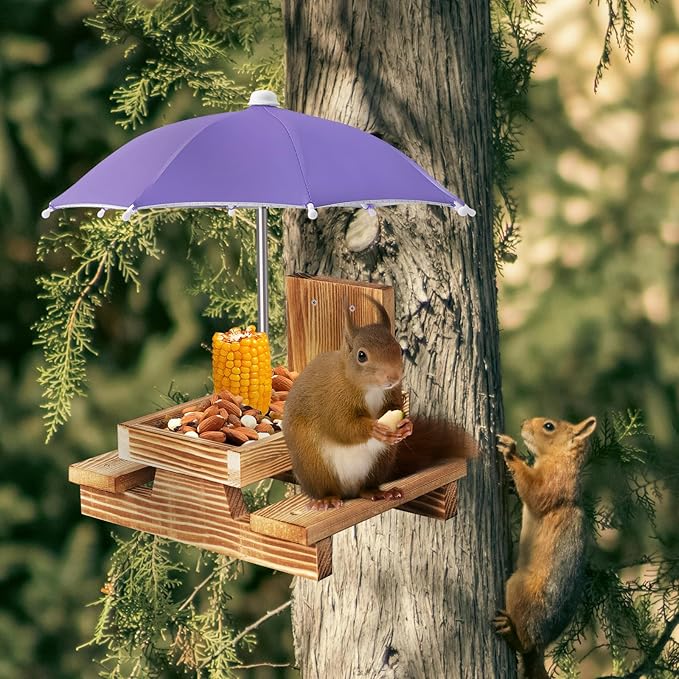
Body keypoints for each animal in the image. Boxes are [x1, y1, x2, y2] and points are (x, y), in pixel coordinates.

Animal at [284, 297, 473, 510]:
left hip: (381, 460)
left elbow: (395, 408)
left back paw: (378, 492)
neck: (371, 389)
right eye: (361, 355)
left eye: (399, 350)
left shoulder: (393, 393)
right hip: (313, 464)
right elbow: (341, 426)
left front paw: (407, 426)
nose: (393, 376)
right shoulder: (332, 399)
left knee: (365, 488)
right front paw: (373, 428)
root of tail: (348, 491)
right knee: (324, 486)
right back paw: (326, 499)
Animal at [494, 416, 597, 679]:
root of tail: (542, 644)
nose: (522, 424)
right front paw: (510, 481)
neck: (559, 459)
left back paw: (511, 632)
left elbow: (534, 492)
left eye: (549, 426)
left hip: (520, 589)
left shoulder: (554, 484)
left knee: (526, 644)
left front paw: (511, 451)